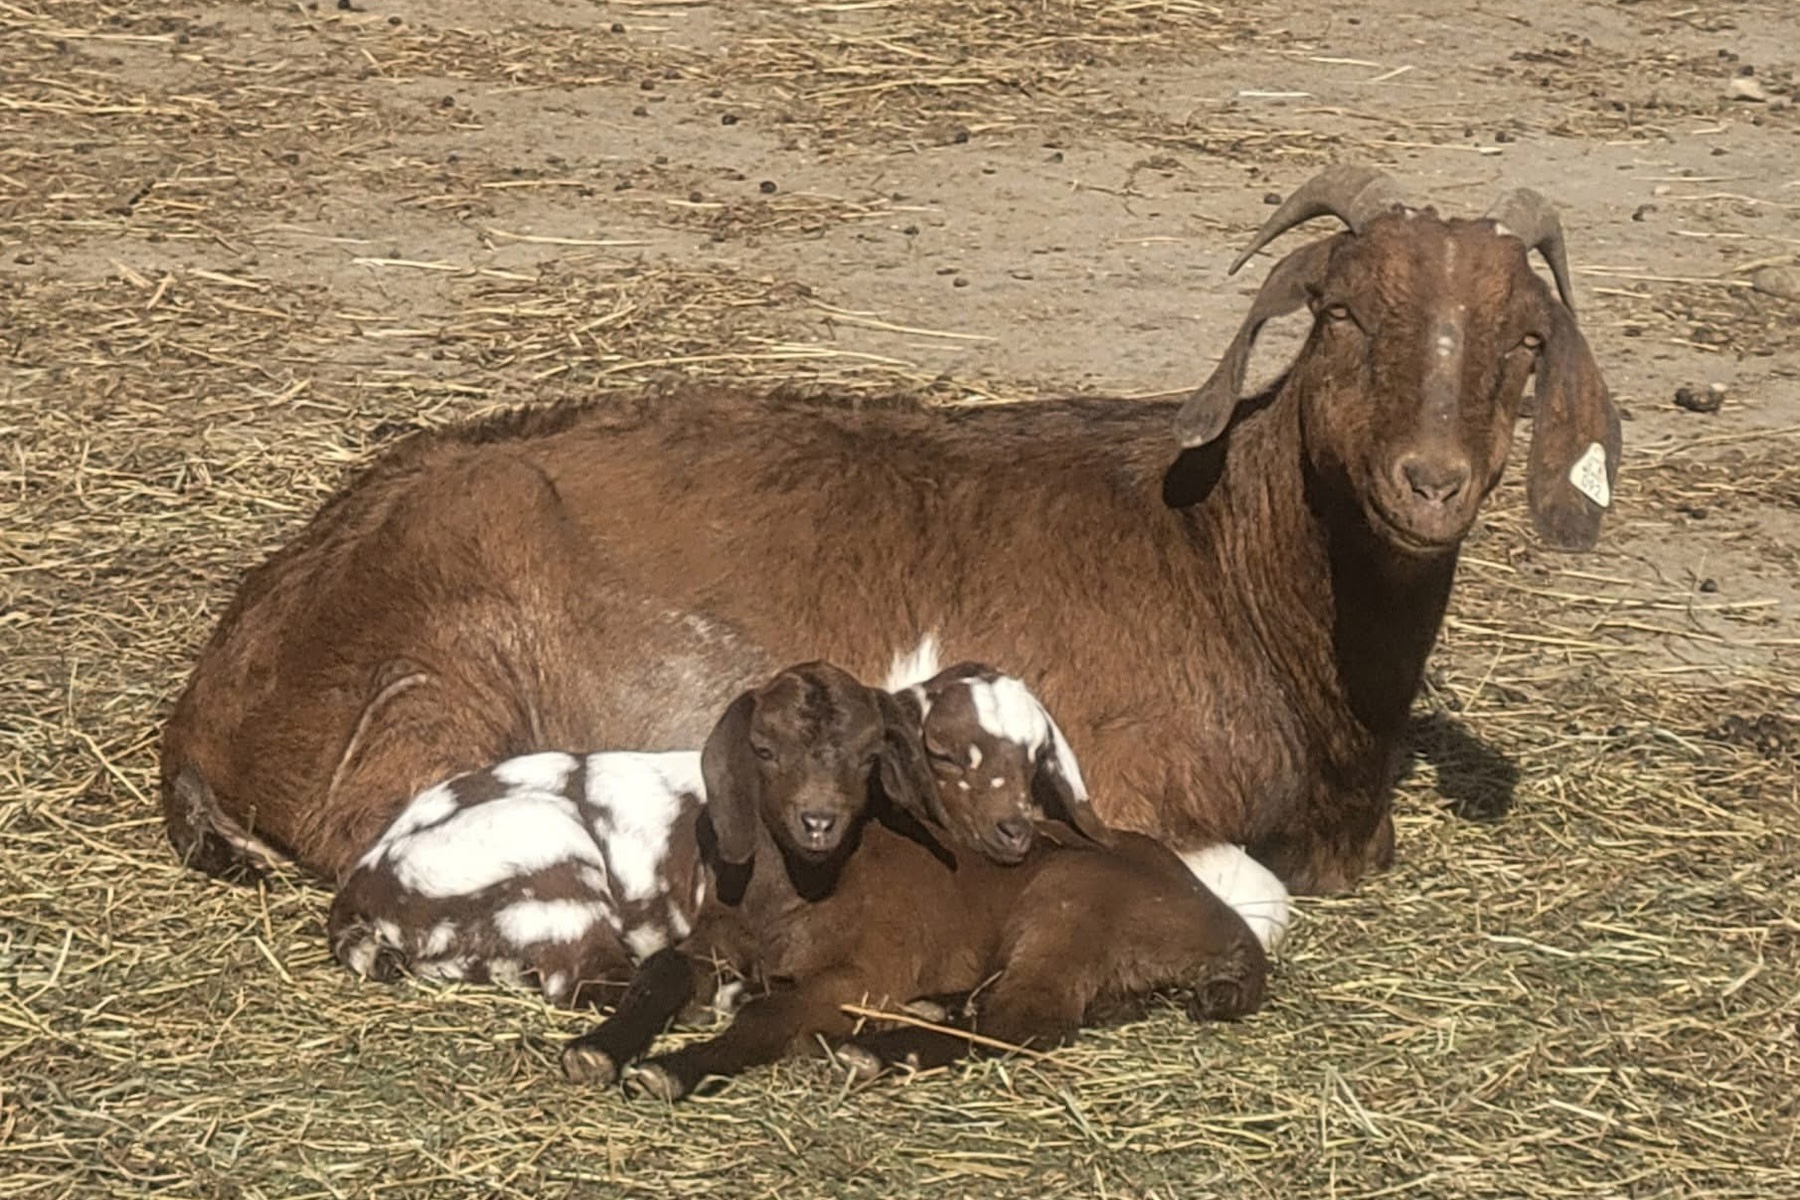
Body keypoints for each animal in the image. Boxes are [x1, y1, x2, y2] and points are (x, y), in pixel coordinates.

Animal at [160, 163, 1620, 896]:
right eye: (1348, 313)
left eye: (1524, 344)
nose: (1432, 484)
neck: (1234, 572)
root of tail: (214, 698)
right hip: (440, 695)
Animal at [562, 660, 1274, 1100]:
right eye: (763, 749)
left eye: (867, 756)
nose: (818, 821)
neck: (793, 891)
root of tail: (1229, 930)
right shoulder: (718, 937)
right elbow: (661, 970)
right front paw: (596, 1049)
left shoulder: (867, 971)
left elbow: (773, 1010)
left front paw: (670, 1068)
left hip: (1071, 904)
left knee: (1027, 1019)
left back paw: (874, 1053)